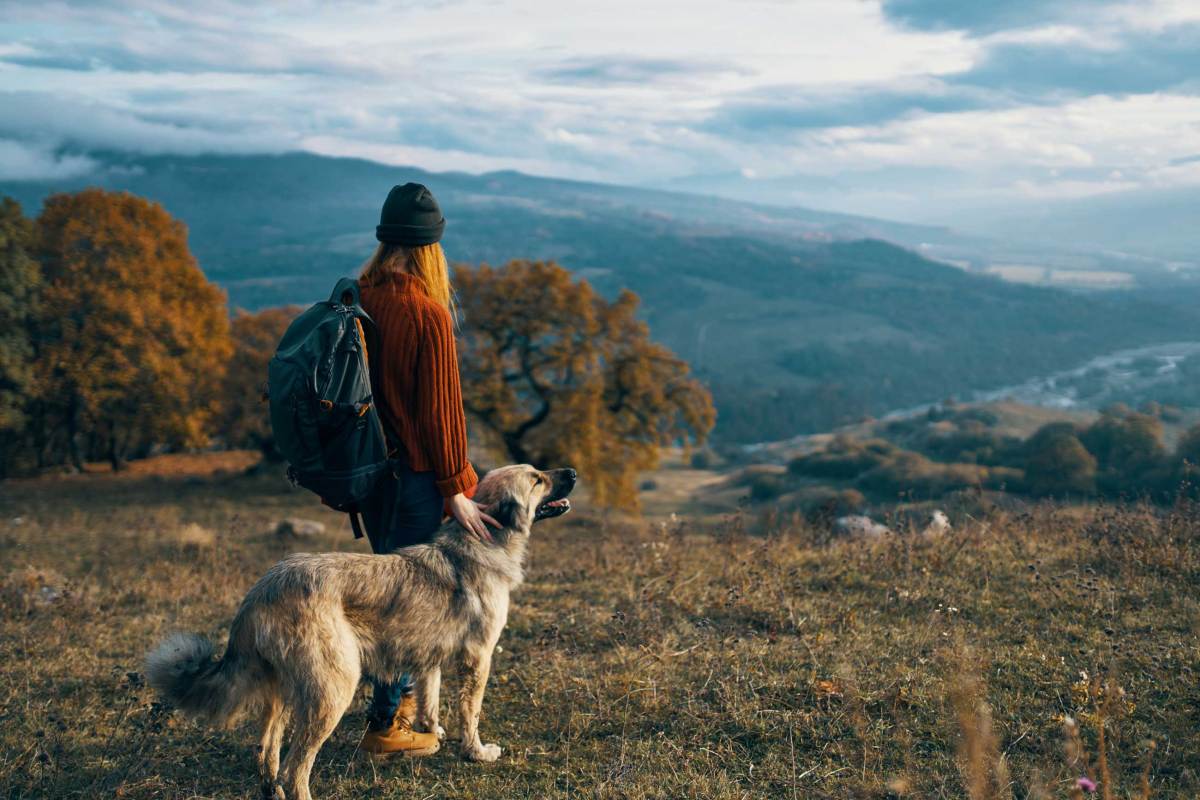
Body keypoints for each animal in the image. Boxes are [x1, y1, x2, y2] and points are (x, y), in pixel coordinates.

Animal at [145, 462, 576, 800]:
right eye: (537, 479)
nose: (571, 472)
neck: (484, 540)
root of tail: (263, 588)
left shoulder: (429, 656)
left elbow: (430, 699)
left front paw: (430, 732)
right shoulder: (479, 657)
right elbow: (470, 712)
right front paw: (476, 752)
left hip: (284, 688)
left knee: (268, 750)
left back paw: (271, 789)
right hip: (334, 687)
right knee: (296, 766)